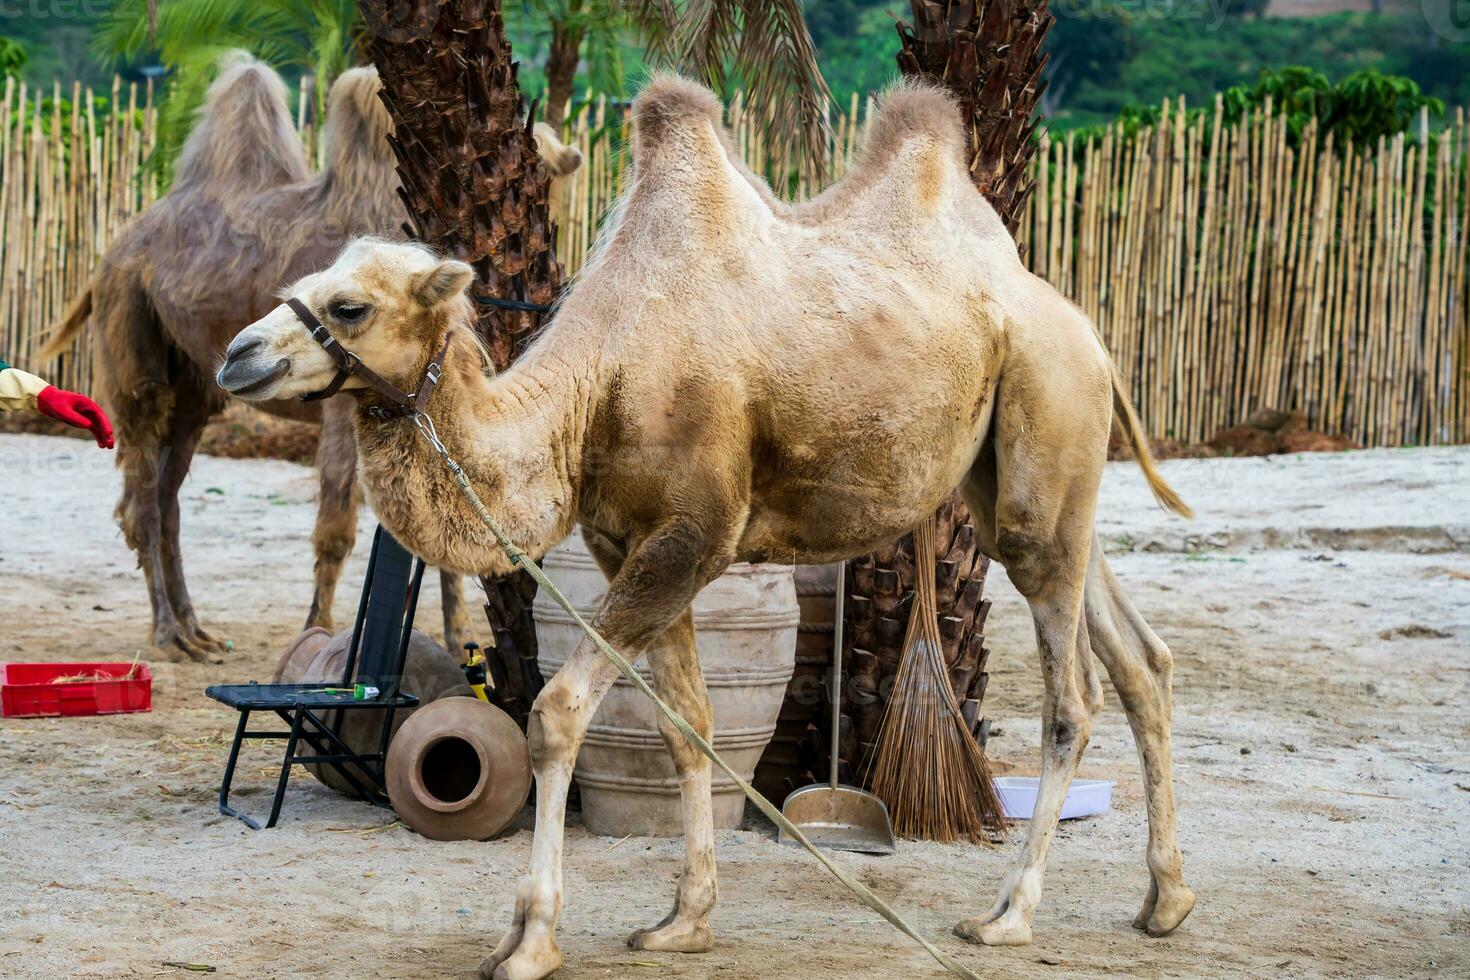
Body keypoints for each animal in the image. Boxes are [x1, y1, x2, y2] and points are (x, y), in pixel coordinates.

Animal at [220, 76, 1205, 980]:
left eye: (350, 306)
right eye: (303, 285)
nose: (237, 355)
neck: (595, 386)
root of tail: (1088, 331)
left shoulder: (692, 538)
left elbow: (558, 713)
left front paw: (530, 940)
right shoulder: (630, 543)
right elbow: (685, 724)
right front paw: (683, 921)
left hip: (1047, 416)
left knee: (1072, 696)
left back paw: (1007, 916)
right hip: (1023, 486)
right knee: (1141, 658)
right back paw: (1165, 901)